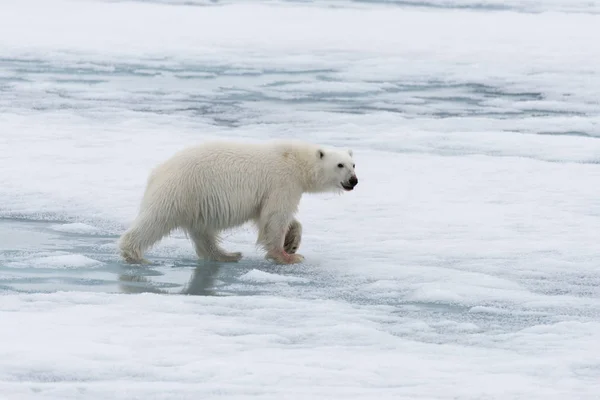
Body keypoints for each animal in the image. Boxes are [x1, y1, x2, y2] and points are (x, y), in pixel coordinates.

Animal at [119, 141, 358, 266]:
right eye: (340, 165)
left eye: (353, 164)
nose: (353, 181)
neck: (295, 160)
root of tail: (157, 171)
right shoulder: (282, 181)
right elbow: (275, 216)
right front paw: (287, 256)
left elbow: (271, 217)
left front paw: (292, 242)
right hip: (181, 190)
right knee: (156, 220)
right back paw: (133, 253)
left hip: (196, 200)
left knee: (203, 232)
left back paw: (226, 254)